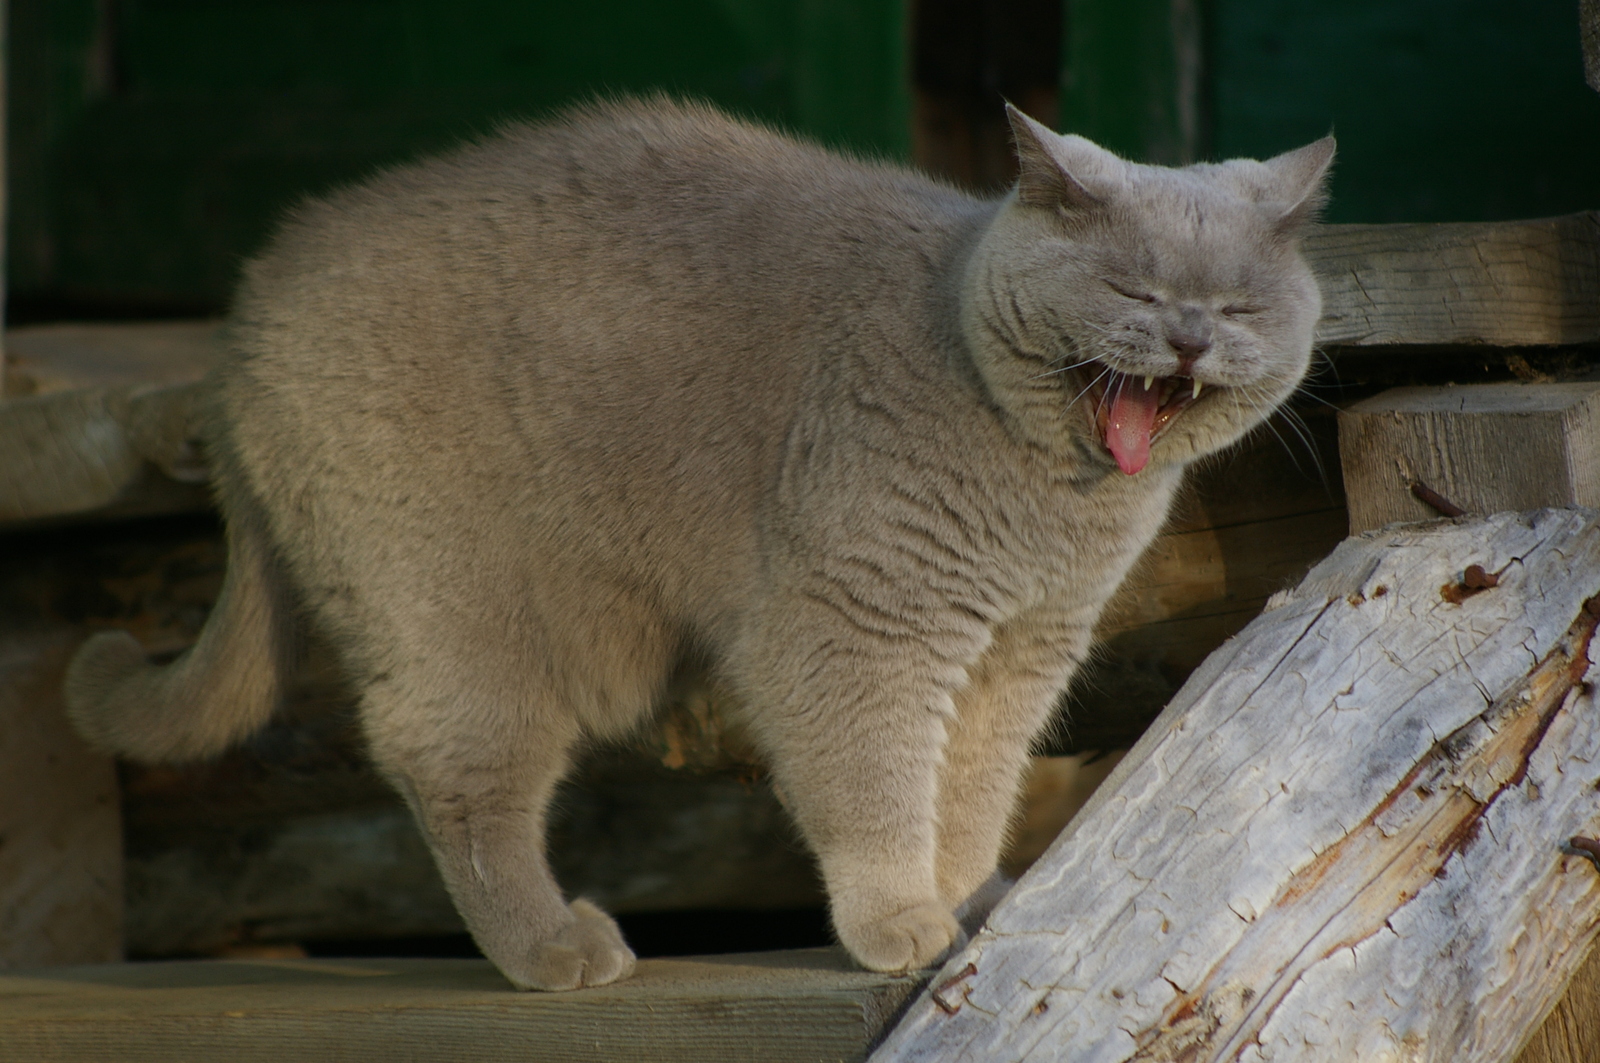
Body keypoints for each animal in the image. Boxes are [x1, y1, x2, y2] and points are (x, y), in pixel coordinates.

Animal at [65, 95, 1324, 992]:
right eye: (1135, 288)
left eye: (1240, 309)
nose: (1188, 338)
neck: (1049, 505)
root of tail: (238, 321)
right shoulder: (853, 625)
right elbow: (874, 781)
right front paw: (897, 920)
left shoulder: (1022, 650)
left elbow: (973, 782)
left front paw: (971, 899)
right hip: (454, 604)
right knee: (450, 768)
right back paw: (554, 949)